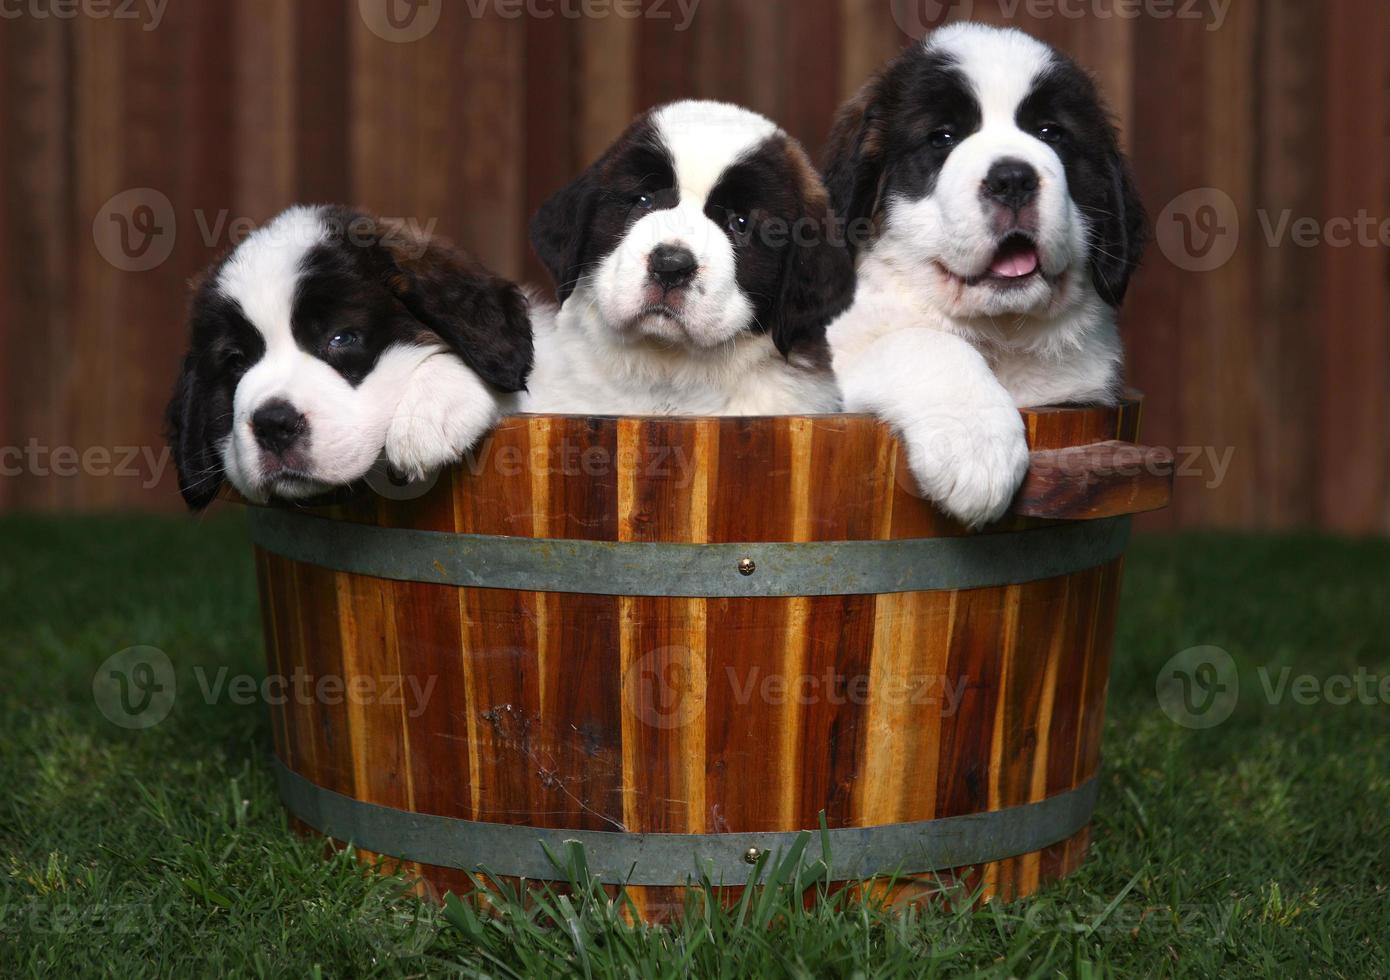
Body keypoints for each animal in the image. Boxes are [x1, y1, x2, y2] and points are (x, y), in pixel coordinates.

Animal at [817, 22, 1145, 528]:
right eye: (942, 137)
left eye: (1050, 133)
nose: (1012, 179)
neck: (999, 333)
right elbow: (924, 343)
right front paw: (975, 445)